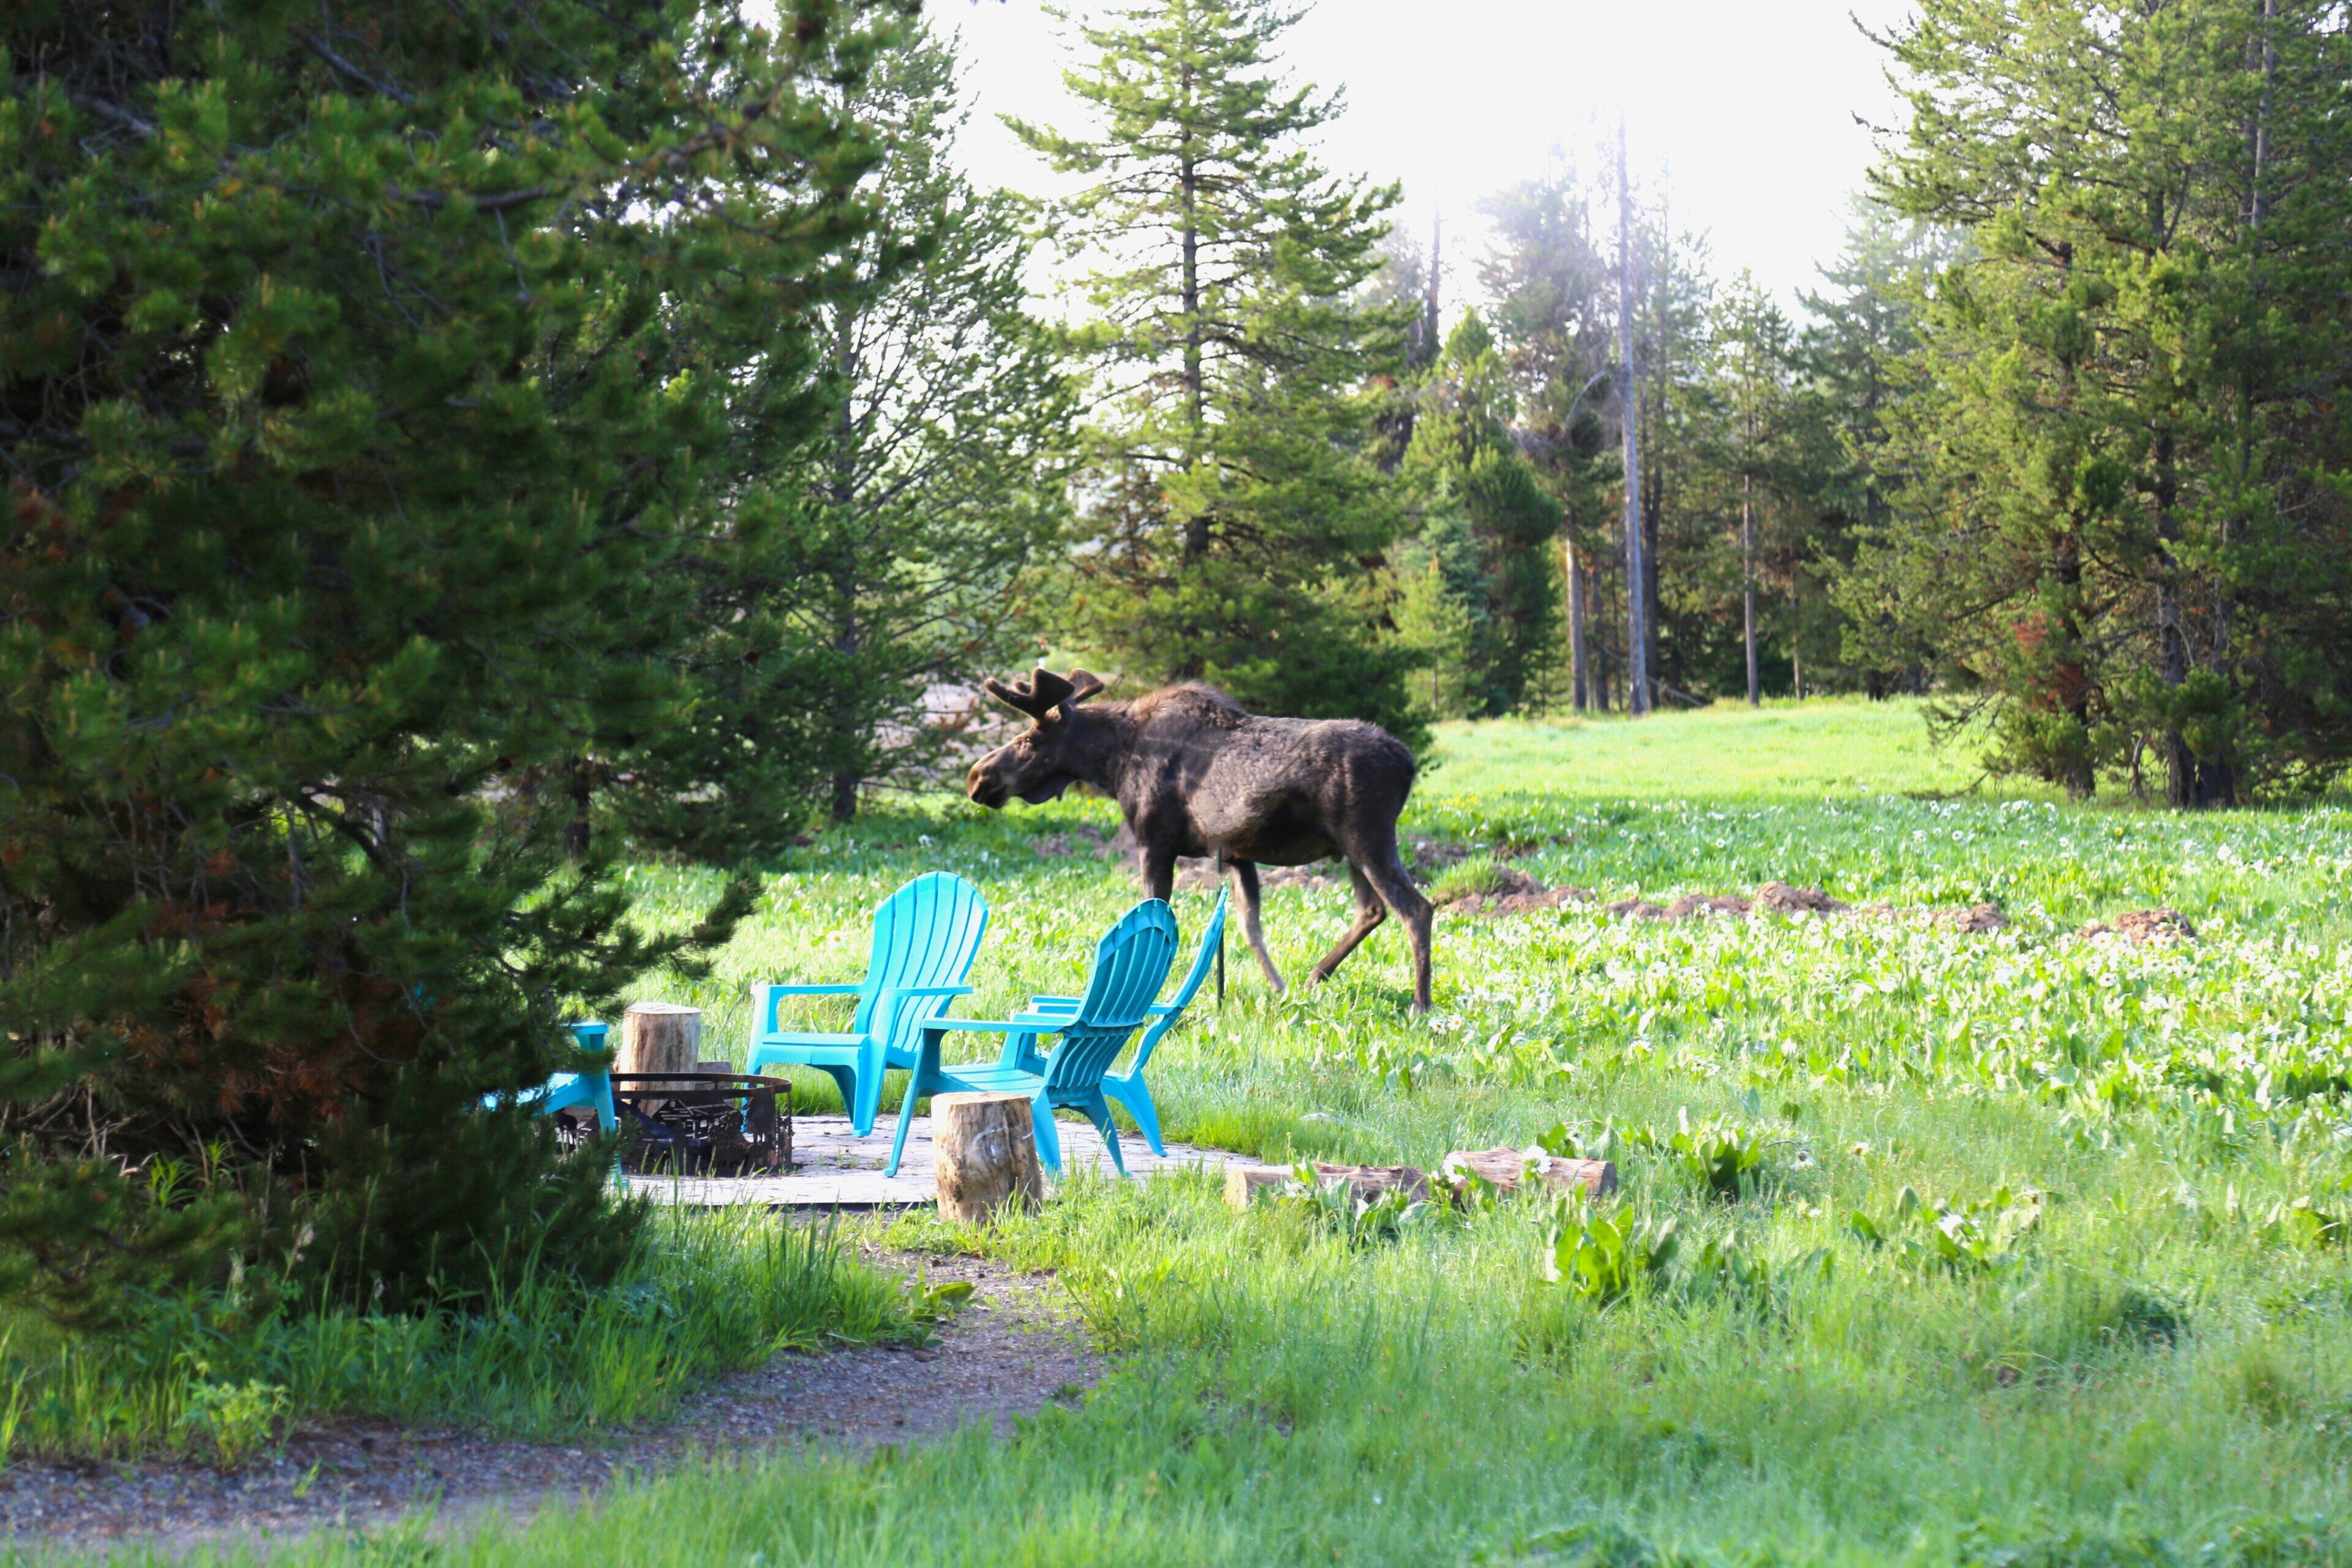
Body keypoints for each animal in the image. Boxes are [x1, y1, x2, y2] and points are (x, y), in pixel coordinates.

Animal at [965, 669, 1434, 1011]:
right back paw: (1315, 976)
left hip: (1368, 838)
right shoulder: (1237, 853)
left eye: (1029, 740)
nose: (978, 778)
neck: (1112, 764)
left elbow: (1158, 914)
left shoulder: (1154, 839)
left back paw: (1421, 1006)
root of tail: (1408, 764)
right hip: (1351, 850)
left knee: (1416, 909)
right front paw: (1277, 990)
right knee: (1372, 911)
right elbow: (1250, 927)